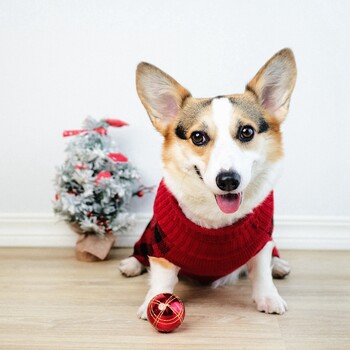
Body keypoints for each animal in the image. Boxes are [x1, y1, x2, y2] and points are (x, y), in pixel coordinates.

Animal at [119, 47, 296, 318]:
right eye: (198, 137)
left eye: (247, 132)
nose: (228, 181)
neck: (217, 218)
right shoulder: (162, 245)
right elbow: (162, 276)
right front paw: (154, 301)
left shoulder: (262, 238)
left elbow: (261, 267)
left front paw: (268, 297)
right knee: (141, 249)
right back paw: (131, 263)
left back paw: (279, 265)